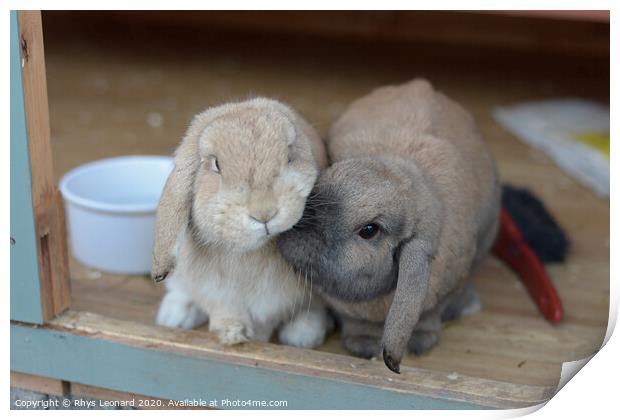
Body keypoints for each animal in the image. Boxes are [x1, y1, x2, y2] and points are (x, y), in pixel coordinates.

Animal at [153, 97, 332, 348]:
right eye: (216, 165)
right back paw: (174, 316)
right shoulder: (214, 292)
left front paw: (255, 339)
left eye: (289, 157)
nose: (264, 213)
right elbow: (224, 312)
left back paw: (302, 335)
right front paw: (231, 334)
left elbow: (266, 322)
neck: (250, 252)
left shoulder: (275, 302)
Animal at [278, 80, 502, 372]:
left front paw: (420, 344)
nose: (296, 225)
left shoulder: (440, 295)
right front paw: (362, 346)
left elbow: (428, 317)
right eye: (328, 175)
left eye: (369, 230)